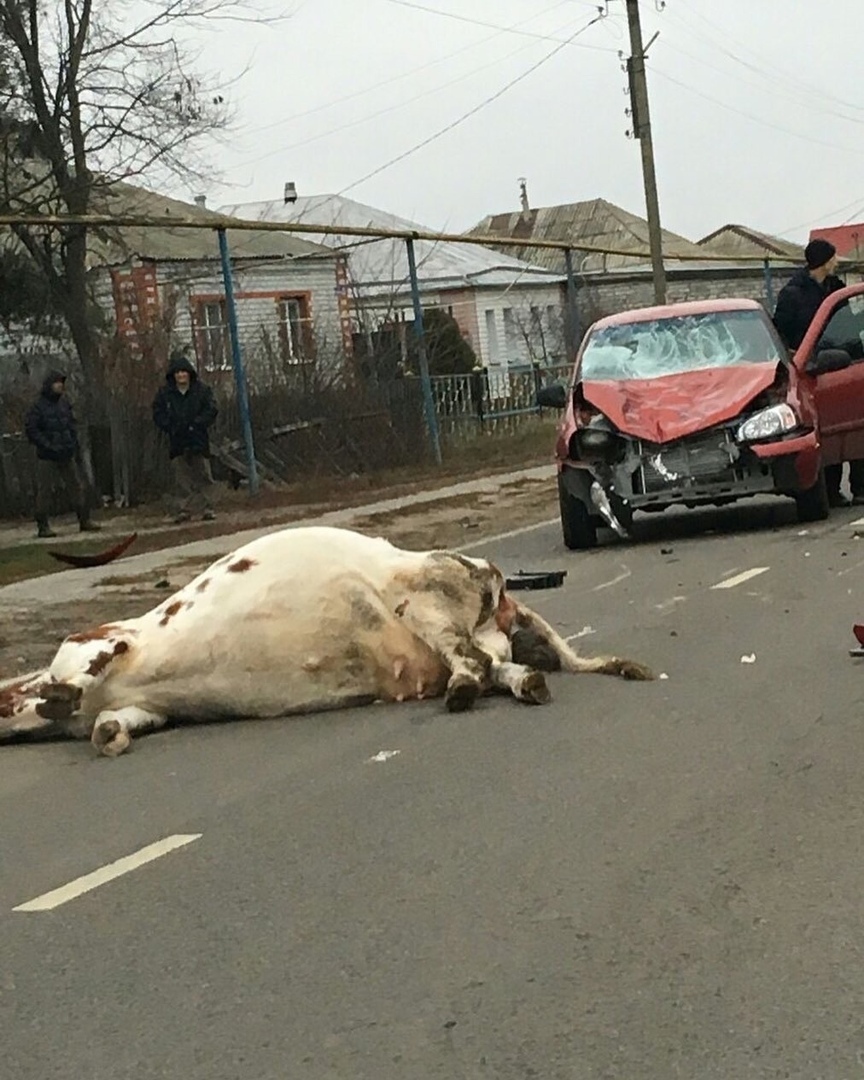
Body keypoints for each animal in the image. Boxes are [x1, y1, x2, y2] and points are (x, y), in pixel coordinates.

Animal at [0, 527, 648, 756]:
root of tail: (494, 574)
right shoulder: (142, 710)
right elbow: (113, 729)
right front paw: (101, 731)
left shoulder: (92, 644)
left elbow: (80, 671)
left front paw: (58, 696)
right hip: (470, 629)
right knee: (497, 665)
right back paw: (527, 683)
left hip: (422, 603)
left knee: (471, 660)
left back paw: (467, 692)